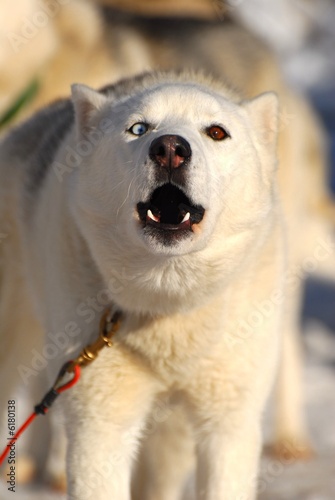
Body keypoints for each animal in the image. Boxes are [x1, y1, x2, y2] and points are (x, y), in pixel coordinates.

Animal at [0, 71, 284, 500]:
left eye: (217, 132)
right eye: (138, 128)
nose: (170, 149)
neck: (169, 305)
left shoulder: (228, 421)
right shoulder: (100, 422)